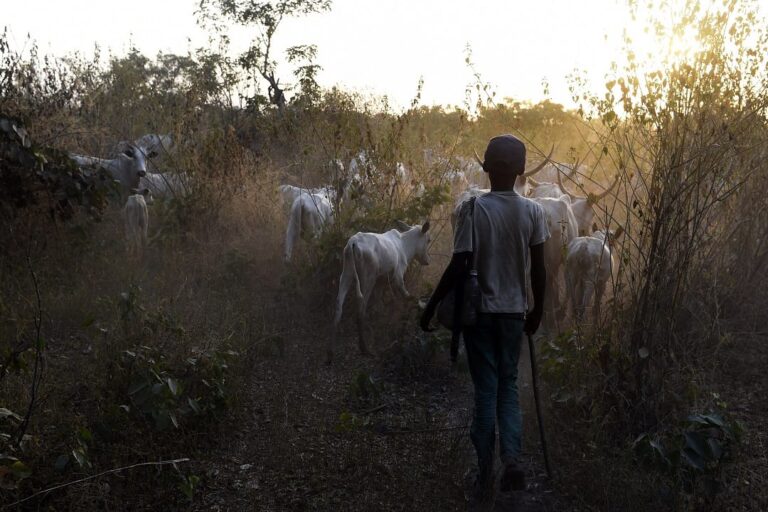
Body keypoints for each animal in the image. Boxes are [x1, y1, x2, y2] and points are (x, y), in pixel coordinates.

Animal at [328, 222, 428, 362]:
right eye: (428, 240)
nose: (427, 261)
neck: (405, 247)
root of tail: (352, 243)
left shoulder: (381, 280)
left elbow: (378, 303)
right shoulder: (397, 276)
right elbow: (407, 296)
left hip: (347, 274)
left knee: (338, 305)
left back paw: (330, 353)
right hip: (368, 277)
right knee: (361, 308)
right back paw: (364, 349)